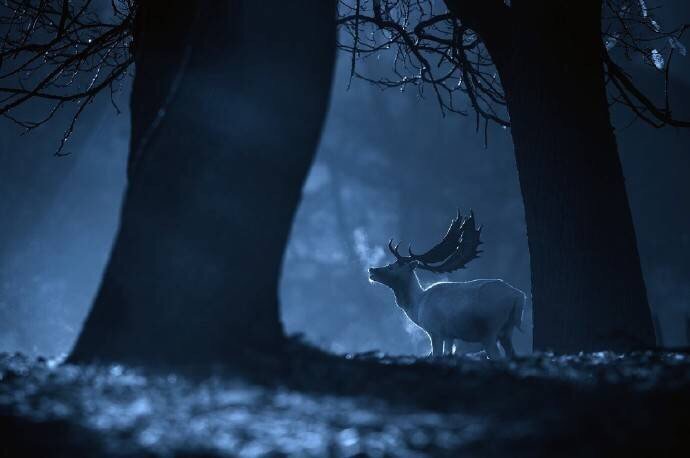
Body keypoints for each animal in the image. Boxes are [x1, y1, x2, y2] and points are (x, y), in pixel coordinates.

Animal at [368, 210, 524, 358]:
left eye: (392, 266)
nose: (372, 270)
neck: (417, 306)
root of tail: (519, 296)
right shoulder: (450, 336)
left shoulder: (435, 331)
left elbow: (436, 354)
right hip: (507, 331)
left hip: (489, 329)